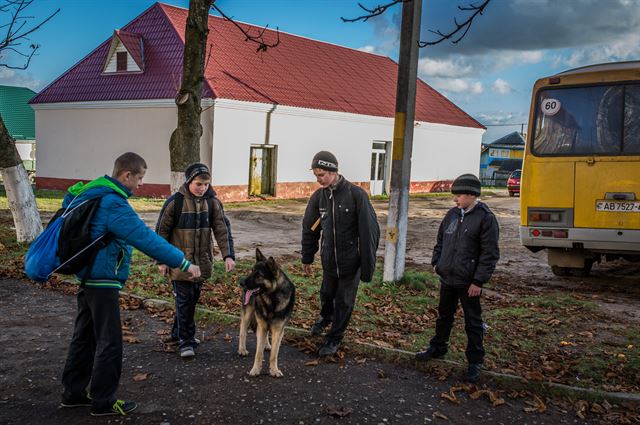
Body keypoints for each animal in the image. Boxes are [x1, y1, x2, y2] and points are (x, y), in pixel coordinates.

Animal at [238, 247, 296, 376]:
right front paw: (255, 369)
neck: (271, 299)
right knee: (243, 331)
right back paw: (242, 349)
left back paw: (267, 345)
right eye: (251, 271)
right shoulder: (262, 325)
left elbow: (274, 354)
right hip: (248, 314)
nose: (241, 283)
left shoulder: (278, 330)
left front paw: (274, 370)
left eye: (258, 275)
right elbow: (258, 353)